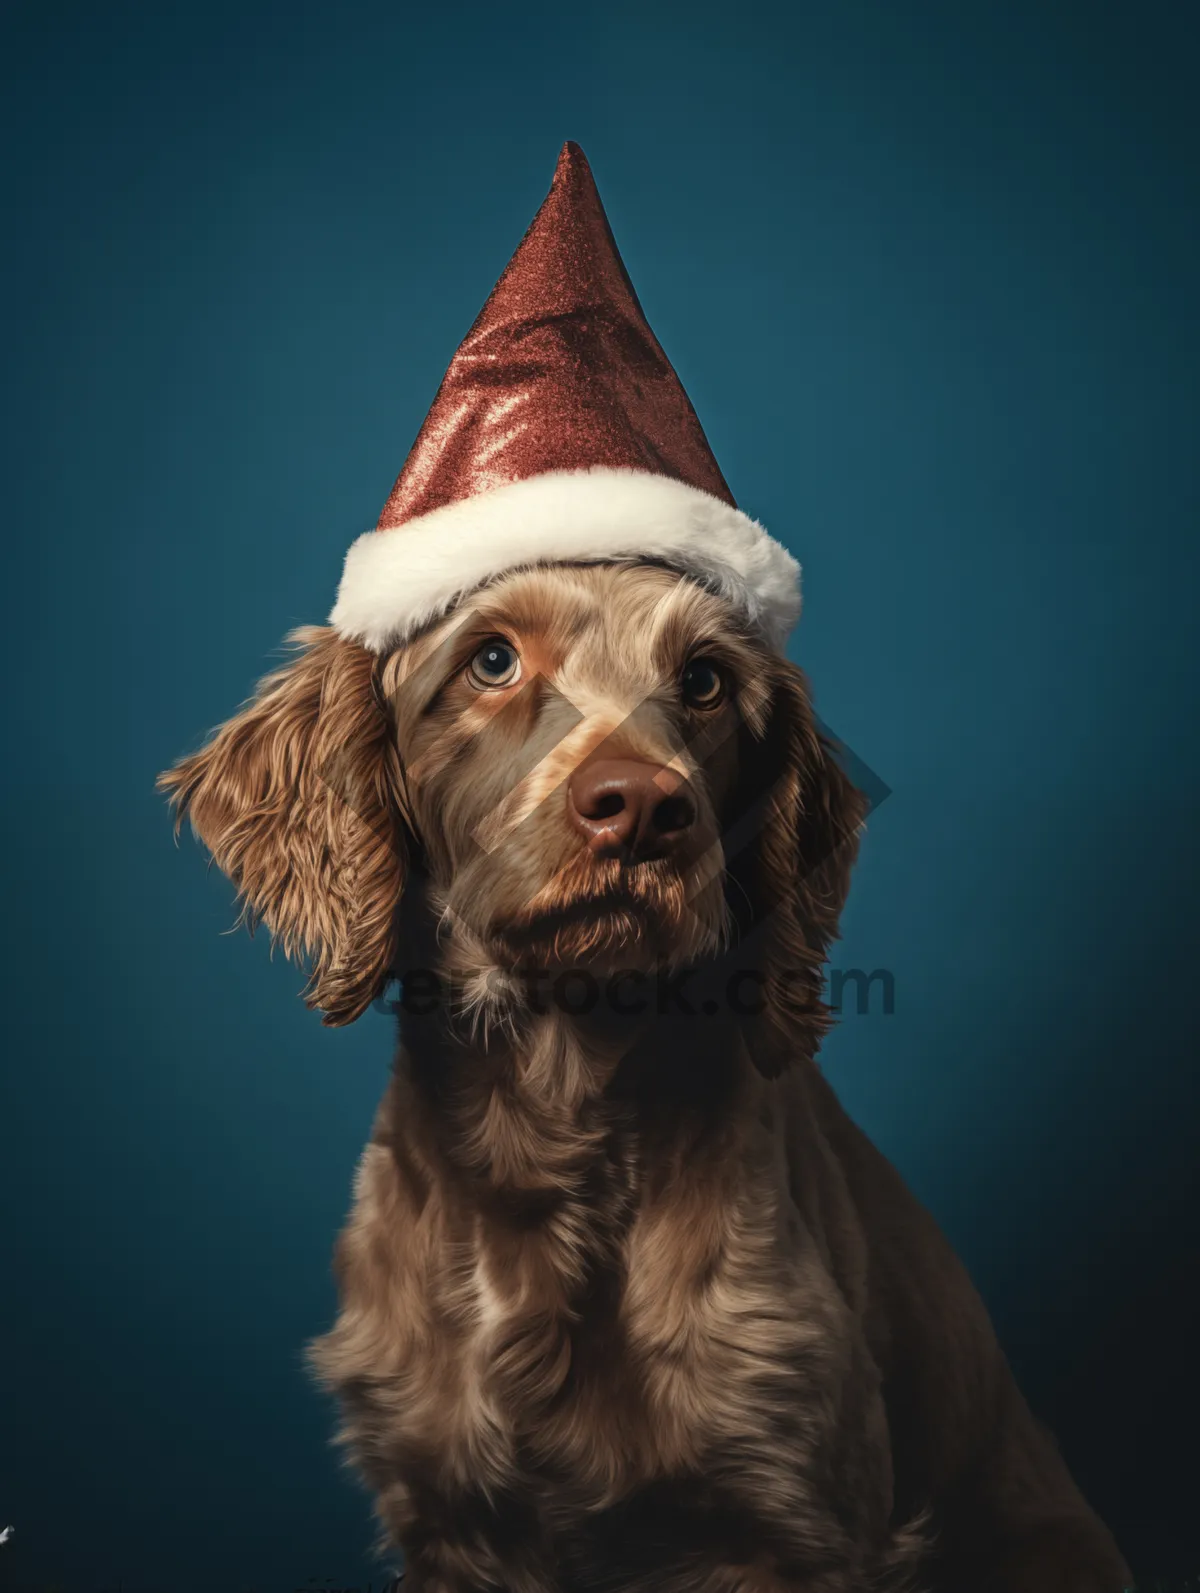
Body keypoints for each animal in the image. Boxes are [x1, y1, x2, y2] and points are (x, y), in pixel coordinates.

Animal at [159, 560, 1134, 1593]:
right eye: (491, 660)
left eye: (705, 679)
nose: (639, 806)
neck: (552, 1130)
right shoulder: (447, 1517)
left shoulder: (791, 1517)